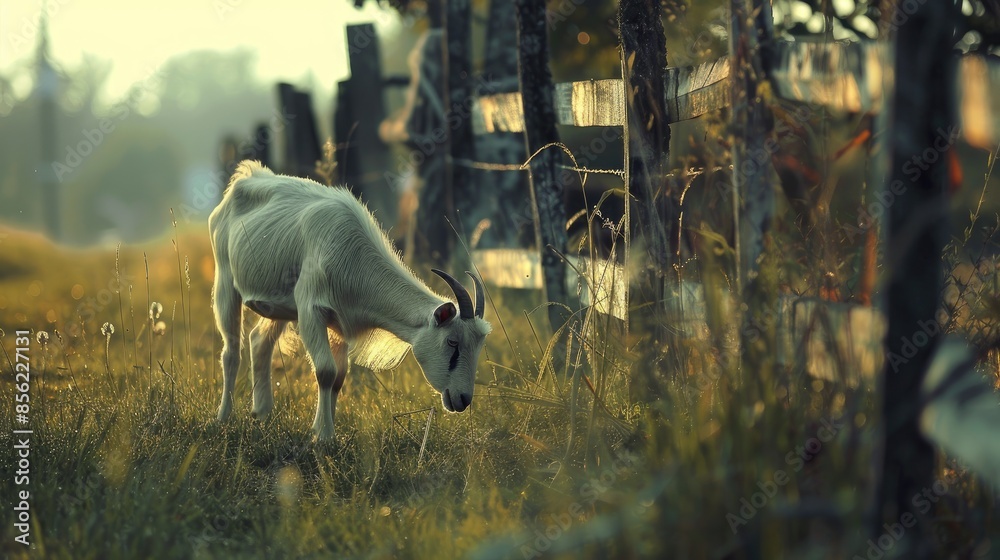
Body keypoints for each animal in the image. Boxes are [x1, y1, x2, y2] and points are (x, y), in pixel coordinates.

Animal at [211, 160, 492, 440]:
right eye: (453, 342)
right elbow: (325, 371)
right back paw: (223, 417)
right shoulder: (311, 309)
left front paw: (326, 431)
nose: (463, 399)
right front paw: (323, 436)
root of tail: (246, 176)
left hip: (281, 306)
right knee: (231, 351)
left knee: (259, 341)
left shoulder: (340, 322)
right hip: (225, 279)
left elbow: (339, 377)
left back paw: (261, 414)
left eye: (478, 346)